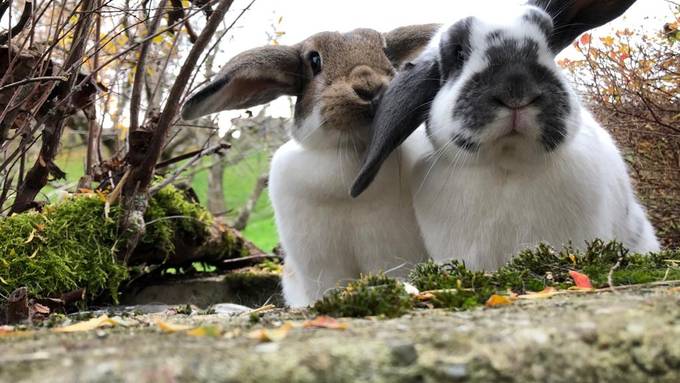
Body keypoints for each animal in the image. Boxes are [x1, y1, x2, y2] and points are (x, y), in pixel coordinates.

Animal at [181, 25, 438, 308]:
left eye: (385, 52)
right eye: (314, 60)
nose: (370, 87)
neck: (351, 152)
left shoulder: (389, 252)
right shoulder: (320, 265)